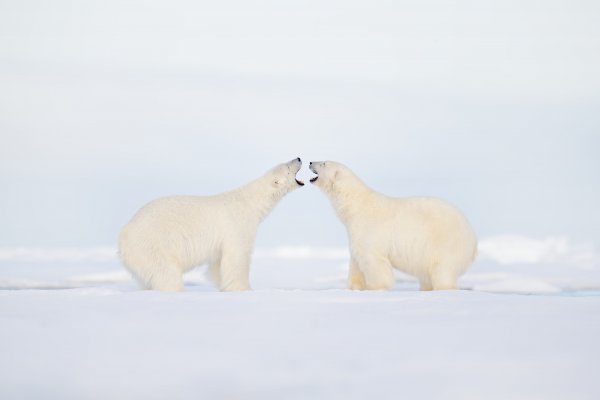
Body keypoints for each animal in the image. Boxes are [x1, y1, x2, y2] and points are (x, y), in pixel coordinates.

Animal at [118, 158, 304, 292]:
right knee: (166, 273)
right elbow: (237, 257)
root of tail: (124, 234)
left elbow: (217, 263)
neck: (249, 202)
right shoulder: (237, 225)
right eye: (287, 166)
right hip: (152, 246)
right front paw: (244, 289)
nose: (299, 158)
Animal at [312, 160, 476, 290]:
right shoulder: (355, 234)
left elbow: (373, 260)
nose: (310, 162)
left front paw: (376, 287)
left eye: (324, 163)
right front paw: (354, 287)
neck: (356, 205)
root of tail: (473, 238)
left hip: (445, 245)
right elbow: (356, 261)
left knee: (442, 270)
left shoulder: (369, 230)